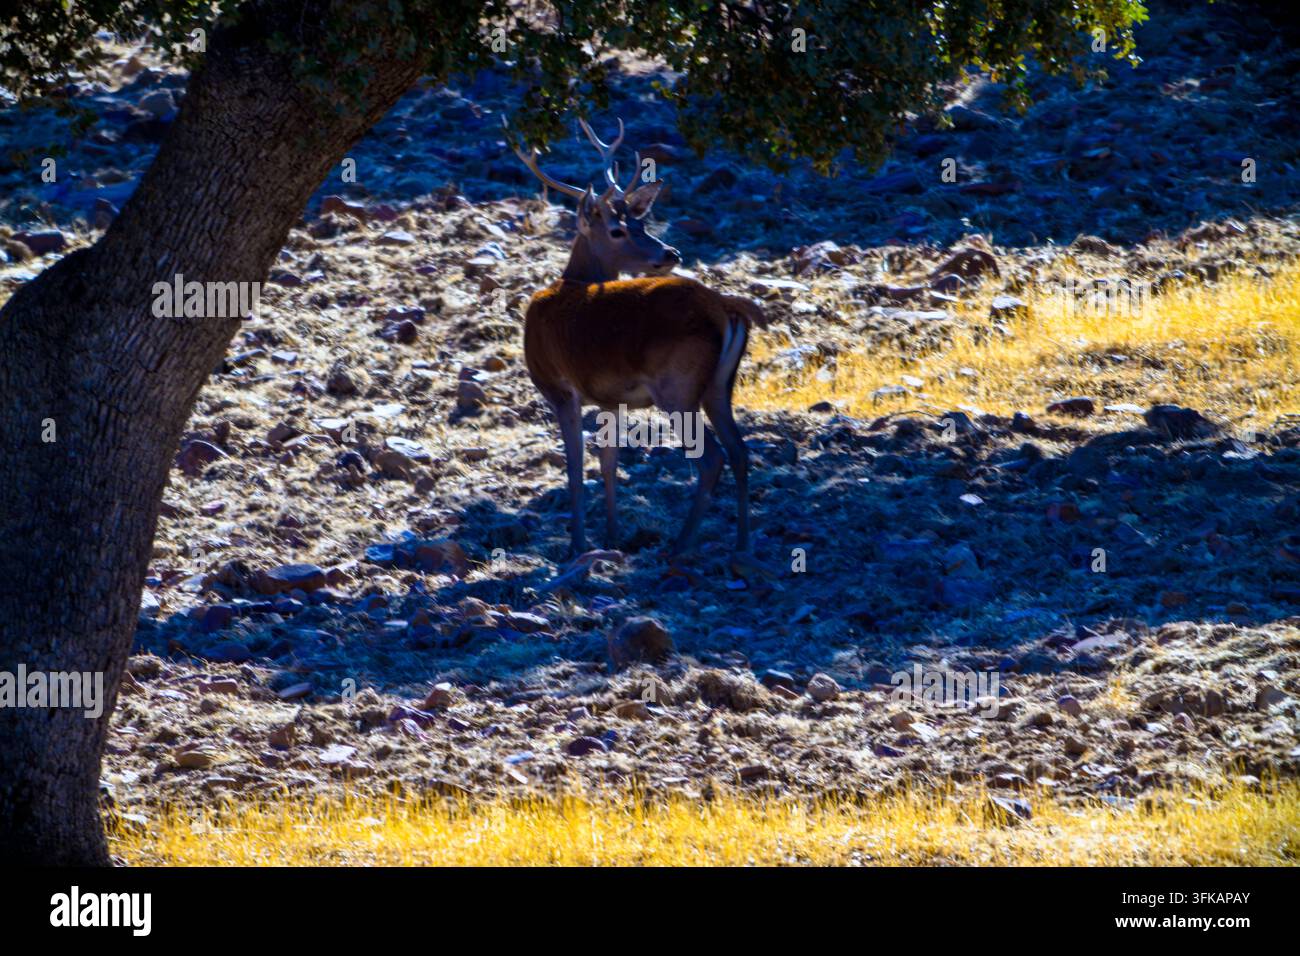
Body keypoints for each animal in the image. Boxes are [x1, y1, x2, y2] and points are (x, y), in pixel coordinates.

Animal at [510, 117, 768, 562]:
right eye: (618, 230)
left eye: (641, 224)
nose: (670, 253)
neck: (571, 281)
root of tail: (725, 309)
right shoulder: (611, 399)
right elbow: (609, 461)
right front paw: (613, 537)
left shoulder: (558, 387)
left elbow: (575, 467)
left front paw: (578, 545)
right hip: (719, 385)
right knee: (740, 450)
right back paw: (742, 544)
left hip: (676, 386)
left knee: (712, 457)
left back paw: (680, 546)